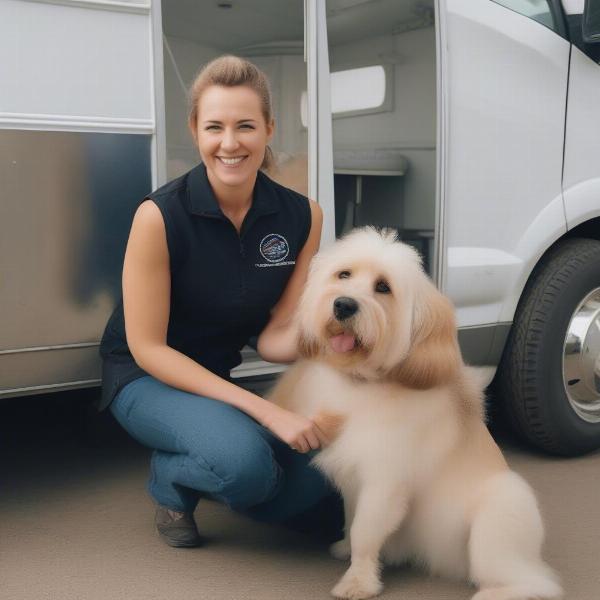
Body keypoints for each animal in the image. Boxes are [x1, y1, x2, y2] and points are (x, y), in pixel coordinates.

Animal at [270, 229, 560, 600]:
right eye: (343, 274)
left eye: (383, 287)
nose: (344, 304)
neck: (361, 383)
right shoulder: (353, 476)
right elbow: (351, 518)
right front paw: (346, 549)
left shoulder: (384, 481)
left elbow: (365, 531)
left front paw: (358, 581)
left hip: (500, 514)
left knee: (536, 582)